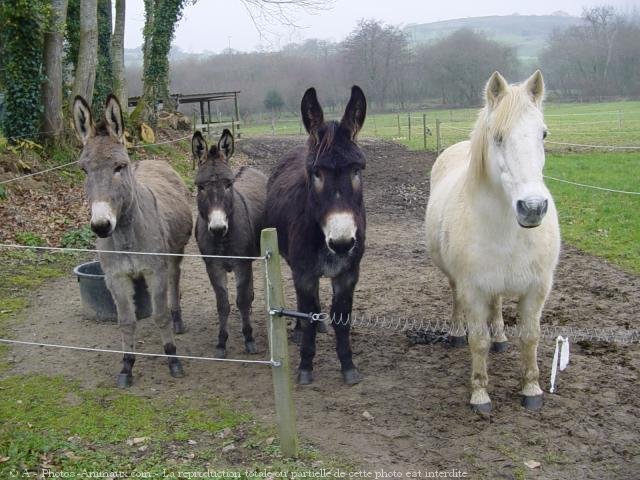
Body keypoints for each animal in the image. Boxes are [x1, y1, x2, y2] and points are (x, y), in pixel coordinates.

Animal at [424, 71, 560, 412]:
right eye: (497, 137)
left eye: (543, 134)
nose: (532, 207)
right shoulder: (473, 289)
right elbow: (478, 341)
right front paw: (480, 393)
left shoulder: (536, 289)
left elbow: (530, 337)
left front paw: (532, 389)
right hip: (456, 281)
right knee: (456, 302)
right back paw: (456, 333)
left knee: (497, 306)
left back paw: (500, 338)